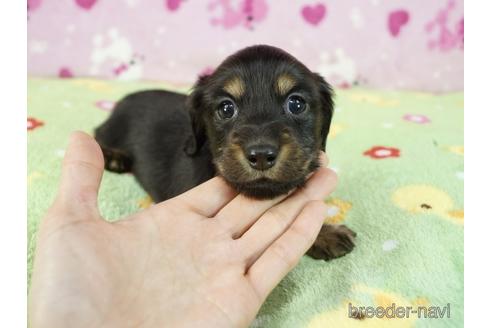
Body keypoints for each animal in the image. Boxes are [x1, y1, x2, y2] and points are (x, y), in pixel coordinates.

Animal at [94, 44, 356, 260]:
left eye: (296, 104)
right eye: (226, 108)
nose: (261, 155)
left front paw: (326, 233)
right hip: (113, 129)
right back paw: (115, 157)